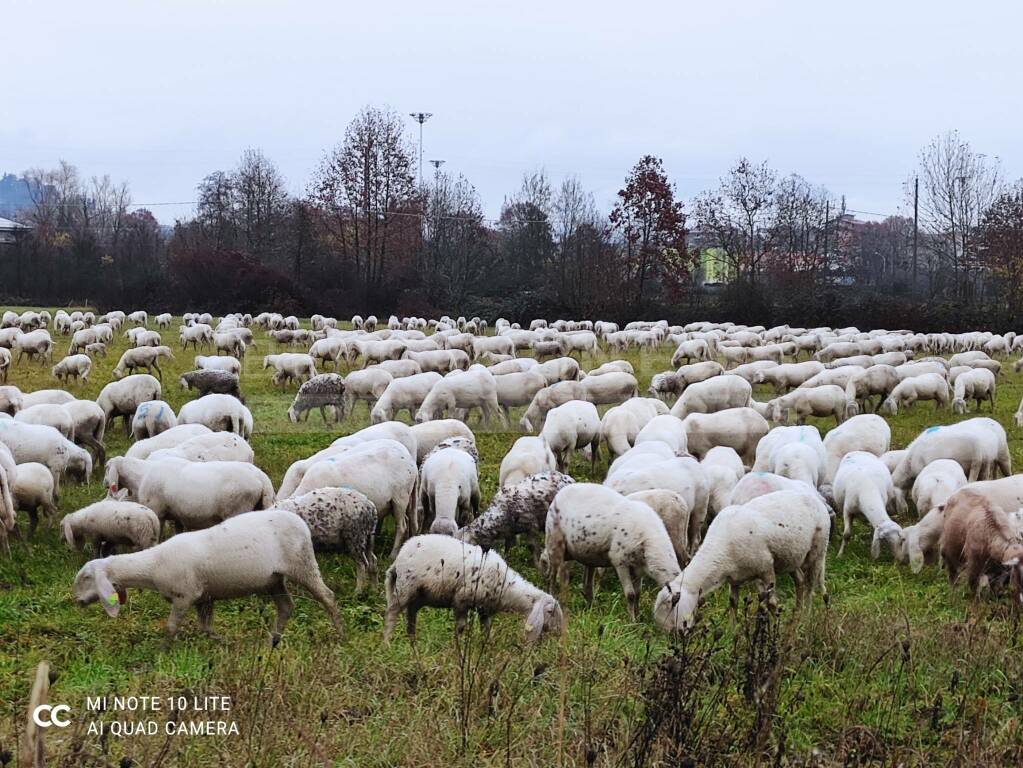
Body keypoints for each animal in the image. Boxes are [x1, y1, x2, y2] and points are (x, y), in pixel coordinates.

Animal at [74, 511, 343, 642]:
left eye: (86, 578)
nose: (75, 601)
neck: (152, 564)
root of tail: (300, 521)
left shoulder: (184, 596)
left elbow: (171, 628)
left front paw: (163, 651)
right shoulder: (204, 598)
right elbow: (204, 627)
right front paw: (217, 641)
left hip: (303, 564)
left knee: (328, 596)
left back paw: (341, 634)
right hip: (273, 579)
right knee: (286, 606)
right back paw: (273, 639)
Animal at [384, 535, 564, 650]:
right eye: (551, 612)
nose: (559, 634)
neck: (507, 587)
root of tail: (399, 557)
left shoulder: (485, 610)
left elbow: (486, 631)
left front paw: (487, 650)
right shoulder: (461, 601)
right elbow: (460, 628)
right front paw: (458, 650)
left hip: (418, 595)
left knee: (411, 615)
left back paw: (413, 643)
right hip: (405, 588)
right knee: (392, 613)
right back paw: (387, 643)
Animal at [654, 492, 830, 629]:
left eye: (672, 608)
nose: (678, 637)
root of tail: (816, 500)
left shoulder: (766, 569)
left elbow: (772, 603)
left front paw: (775, 629)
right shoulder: (734, 578)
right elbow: (733, 602)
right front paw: (733, 633)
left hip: (818, 550)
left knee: (810, 586)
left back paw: (806, 618)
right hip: (791, 558)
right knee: (800, 580)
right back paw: (797, 616)